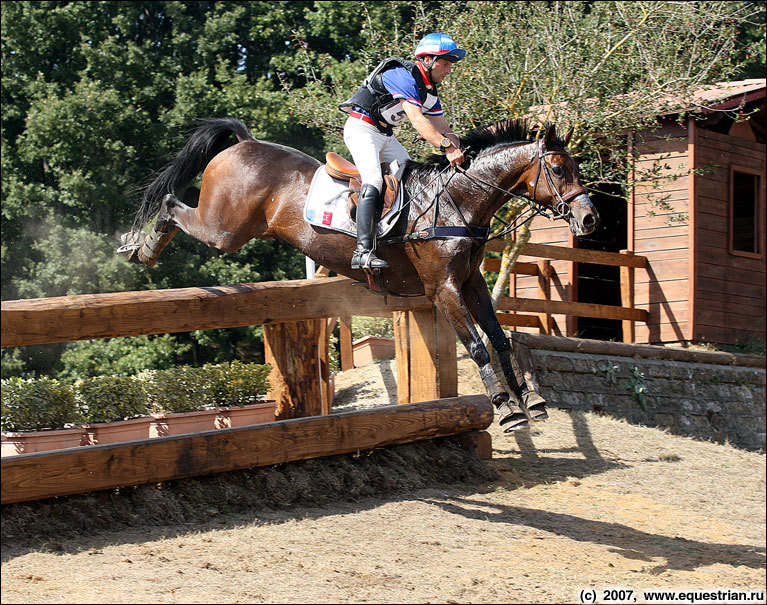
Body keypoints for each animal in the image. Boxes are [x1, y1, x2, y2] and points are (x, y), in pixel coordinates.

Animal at [118, 117, 600, 430]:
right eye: (559, 169)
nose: (590, 219)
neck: (458, 202)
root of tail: (245, 142)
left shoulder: (471, 283)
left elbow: (499, 339)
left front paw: (532, 401)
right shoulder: (442, 288)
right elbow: (478, 345)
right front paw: (507, 408)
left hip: (233, 229)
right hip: (225, 229)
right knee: (171, 205)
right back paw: (140, 246)